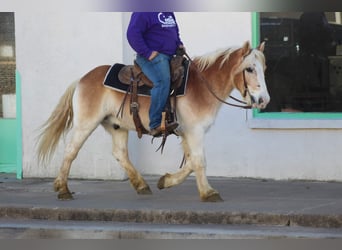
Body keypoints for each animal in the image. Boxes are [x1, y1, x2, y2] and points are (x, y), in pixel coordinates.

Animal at [36, 41, 270, 201]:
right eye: (249, 69)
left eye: (264, 69)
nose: (264, 100)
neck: (202, 86)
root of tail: (82, 79)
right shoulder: (195, 131)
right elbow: (199, 161)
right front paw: (208, 192)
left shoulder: (186, 132)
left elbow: (190, 162)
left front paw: (166, 181)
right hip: (86, 124)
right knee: (71, 151)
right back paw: (63, 189)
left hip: (117, 125)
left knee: (120, 153)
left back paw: (141, 185)